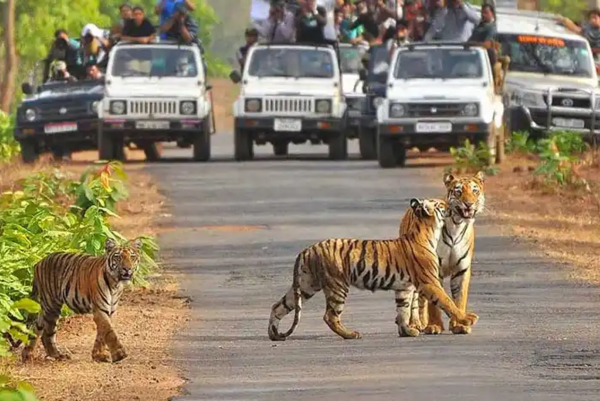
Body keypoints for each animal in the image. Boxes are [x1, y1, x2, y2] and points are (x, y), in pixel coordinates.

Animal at [268, 197, 478, 340]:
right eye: (441, 205)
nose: (451, 205)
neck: (427, 231)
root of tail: (306, 250)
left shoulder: (404, 288)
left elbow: (403, 309)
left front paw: (407, 331)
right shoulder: (430, 282)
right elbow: (447, 302)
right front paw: (467, 319)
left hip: (306, 285)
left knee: (278, 306)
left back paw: (274, 334)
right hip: (337, 285)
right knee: (330, 316)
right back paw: (351, 334)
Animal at [400, 171, 486, 334]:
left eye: (475, 191)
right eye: (458, 191)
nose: (469, 203)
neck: (457, 225)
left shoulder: (462, 270)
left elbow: (459, 299)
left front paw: (459, 325)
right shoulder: (433, 269)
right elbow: (435, 302)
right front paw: (434, 326)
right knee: (415, 299)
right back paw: (415, 324)